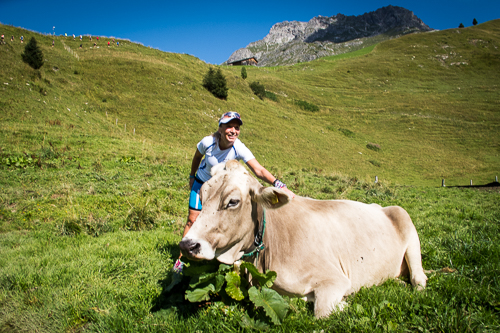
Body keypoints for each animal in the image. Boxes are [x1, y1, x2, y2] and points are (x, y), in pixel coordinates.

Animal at [179, 160, 426, 318]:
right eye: (202, 196)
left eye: (232, 201)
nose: (187, 245)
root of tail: (380, 206)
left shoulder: (336, 280)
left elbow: (322, 311)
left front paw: (343, 304)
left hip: (409, 229)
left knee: (418, 279)